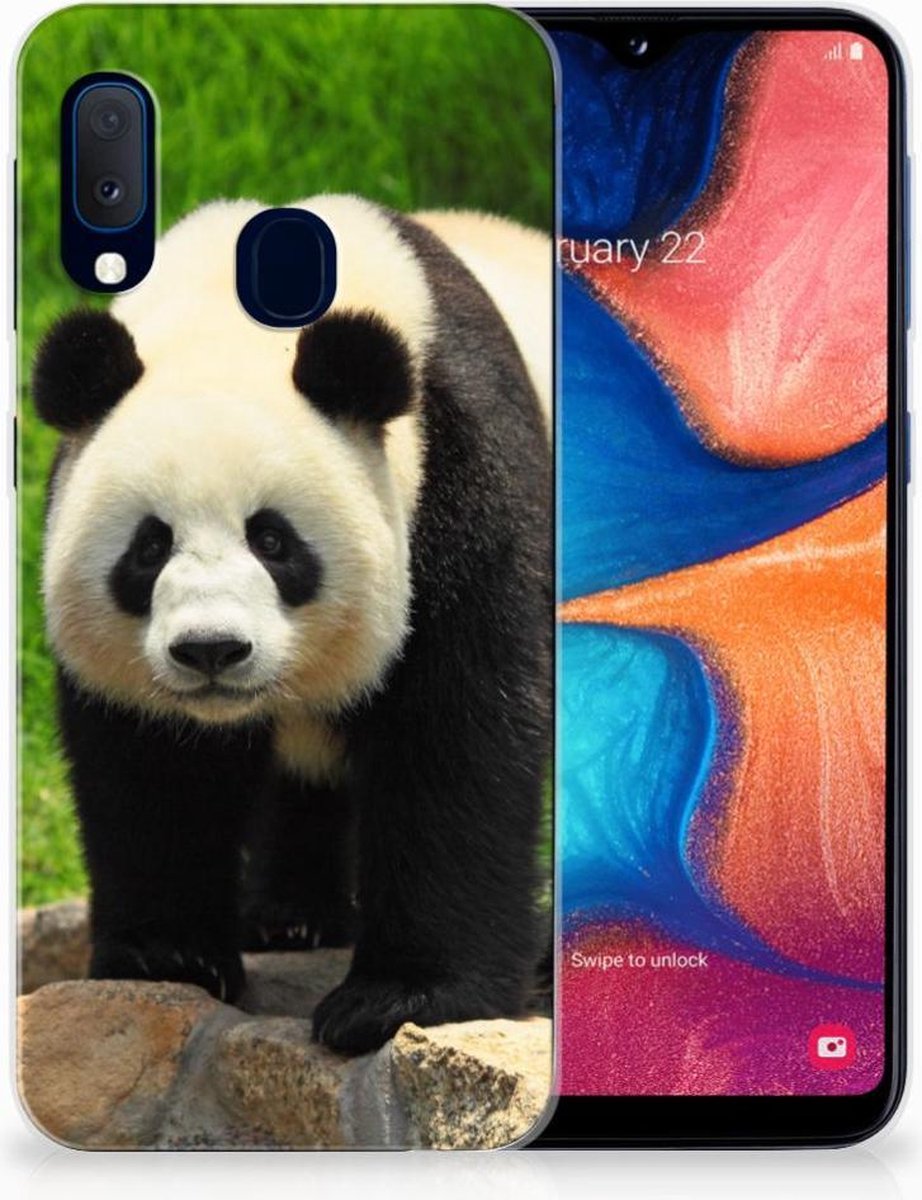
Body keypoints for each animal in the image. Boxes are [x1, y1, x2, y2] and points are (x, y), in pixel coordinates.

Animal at [32, 195, 551, 1053]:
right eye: (149, 546)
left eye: (272, 540)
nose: (211, 650)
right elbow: (152, 764)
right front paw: (167, 956)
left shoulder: (463, 476)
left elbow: (459, 733)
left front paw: (400, 997)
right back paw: (290, 917)